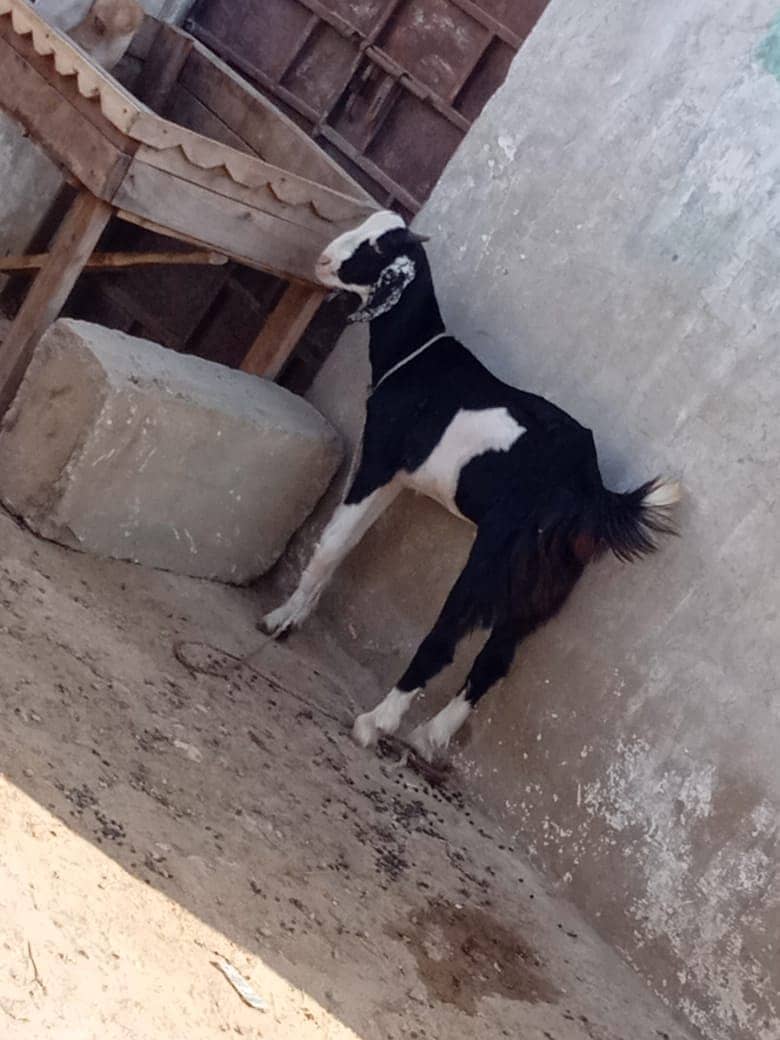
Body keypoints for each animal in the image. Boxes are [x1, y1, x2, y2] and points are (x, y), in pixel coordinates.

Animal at [261, 211, 678, 765]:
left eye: (375, 248)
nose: (324, 260)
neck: (417, 356)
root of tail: (591, 491)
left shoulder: (379, 460)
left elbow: (331, 544)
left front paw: (281, 618)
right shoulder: (400, 477)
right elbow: (349, 543)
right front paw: (297, 614)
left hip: (494, 557)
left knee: (445, 640)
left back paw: (374, 723)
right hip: (548, 579)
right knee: (498, 657)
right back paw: (428, 737)